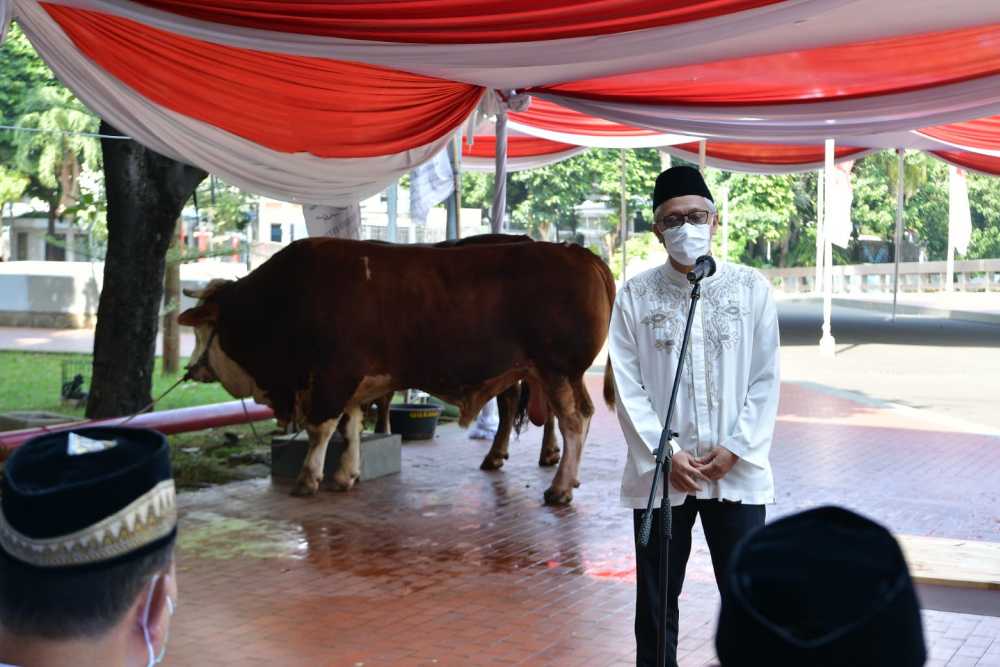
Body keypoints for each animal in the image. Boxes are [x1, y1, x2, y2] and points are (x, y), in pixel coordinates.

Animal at [182, 237, 616, 504]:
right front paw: (346, 474)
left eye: (204, 329)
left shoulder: (333, 377)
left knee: (573, 421)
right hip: (560, 374)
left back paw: (560, 488)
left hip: (557, 370)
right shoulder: (354, 381)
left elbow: (322, 427)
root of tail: (581, 254)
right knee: (580, 415)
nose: (191, 369)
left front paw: (309, 478)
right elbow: (351, 425)